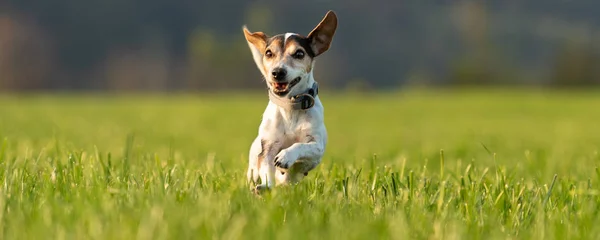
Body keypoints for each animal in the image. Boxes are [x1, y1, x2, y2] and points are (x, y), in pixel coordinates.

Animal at [244, 10, 338, 192]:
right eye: (269, 53)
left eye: (299, 54)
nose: (277, 72)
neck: (290, 107)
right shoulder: (267, 149)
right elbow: (267, 169)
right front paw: (266, 187)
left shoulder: (316, 147)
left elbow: (301, 147)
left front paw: (286, 156)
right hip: (252, 167)